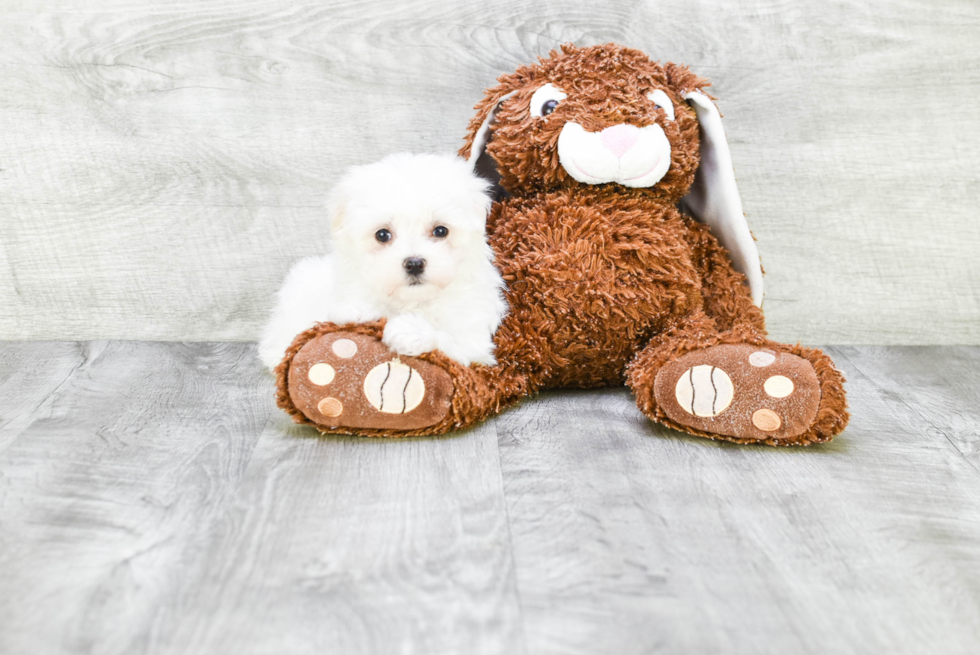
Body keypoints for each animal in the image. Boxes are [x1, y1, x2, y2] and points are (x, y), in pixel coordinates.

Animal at [256, 151, 510, 372]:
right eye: (382, 235)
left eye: (440, 231)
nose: (414, 263)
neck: (412, 301)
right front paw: (356, 310)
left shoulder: (475, 342)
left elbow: (450, 341)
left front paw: (409, 331)